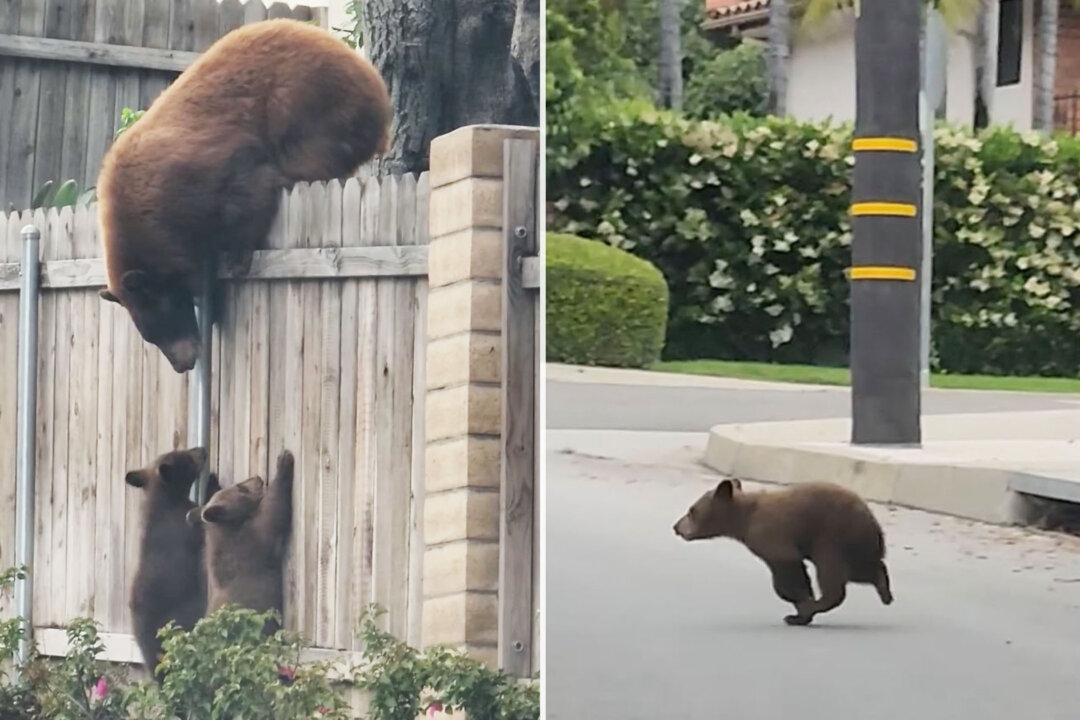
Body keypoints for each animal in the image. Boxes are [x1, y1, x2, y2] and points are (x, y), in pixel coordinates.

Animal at [96, 19, 391, 372]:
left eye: (163, 323)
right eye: (151, 337)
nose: (184, 364)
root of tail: (376, 85)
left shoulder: (202, 171)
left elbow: (246, 192)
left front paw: (236, 260)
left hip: (312, 103)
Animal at [190, 449, 294, 634]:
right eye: (241, 487)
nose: (257, 478)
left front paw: (213, 480)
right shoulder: (250, 543)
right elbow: (275, 513)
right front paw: (284, 462)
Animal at [673, 479, 893, 626]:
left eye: (691, 510)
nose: (676, 527)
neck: (744, 518)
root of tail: (871, 520)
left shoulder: (771, 535)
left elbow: (788, 573)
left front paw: (800, 609)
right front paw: (800, 611)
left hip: (832, 538)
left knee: (832, 574)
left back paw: (817, 604)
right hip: (855, 545)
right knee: (865, 568)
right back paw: (885, 591)